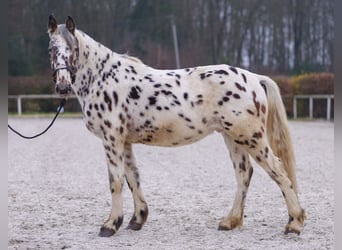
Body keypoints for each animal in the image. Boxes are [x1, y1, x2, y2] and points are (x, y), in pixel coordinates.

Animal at [47, 15, 304, 236]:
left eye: (72, 49)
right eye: (51, 49)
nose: (62, 86)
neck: (102, 78)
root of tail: (254, 78)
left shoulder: (112, 139)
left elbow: (116, 181)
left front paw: (110, 225)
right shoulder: (125, 142)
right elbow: (132, 178)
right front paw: (137, 219)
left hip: (250, 137)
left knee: (278, 170)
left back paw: (294, 223)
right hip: (233, 137)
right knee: (244, 174)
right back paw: (230, 221)